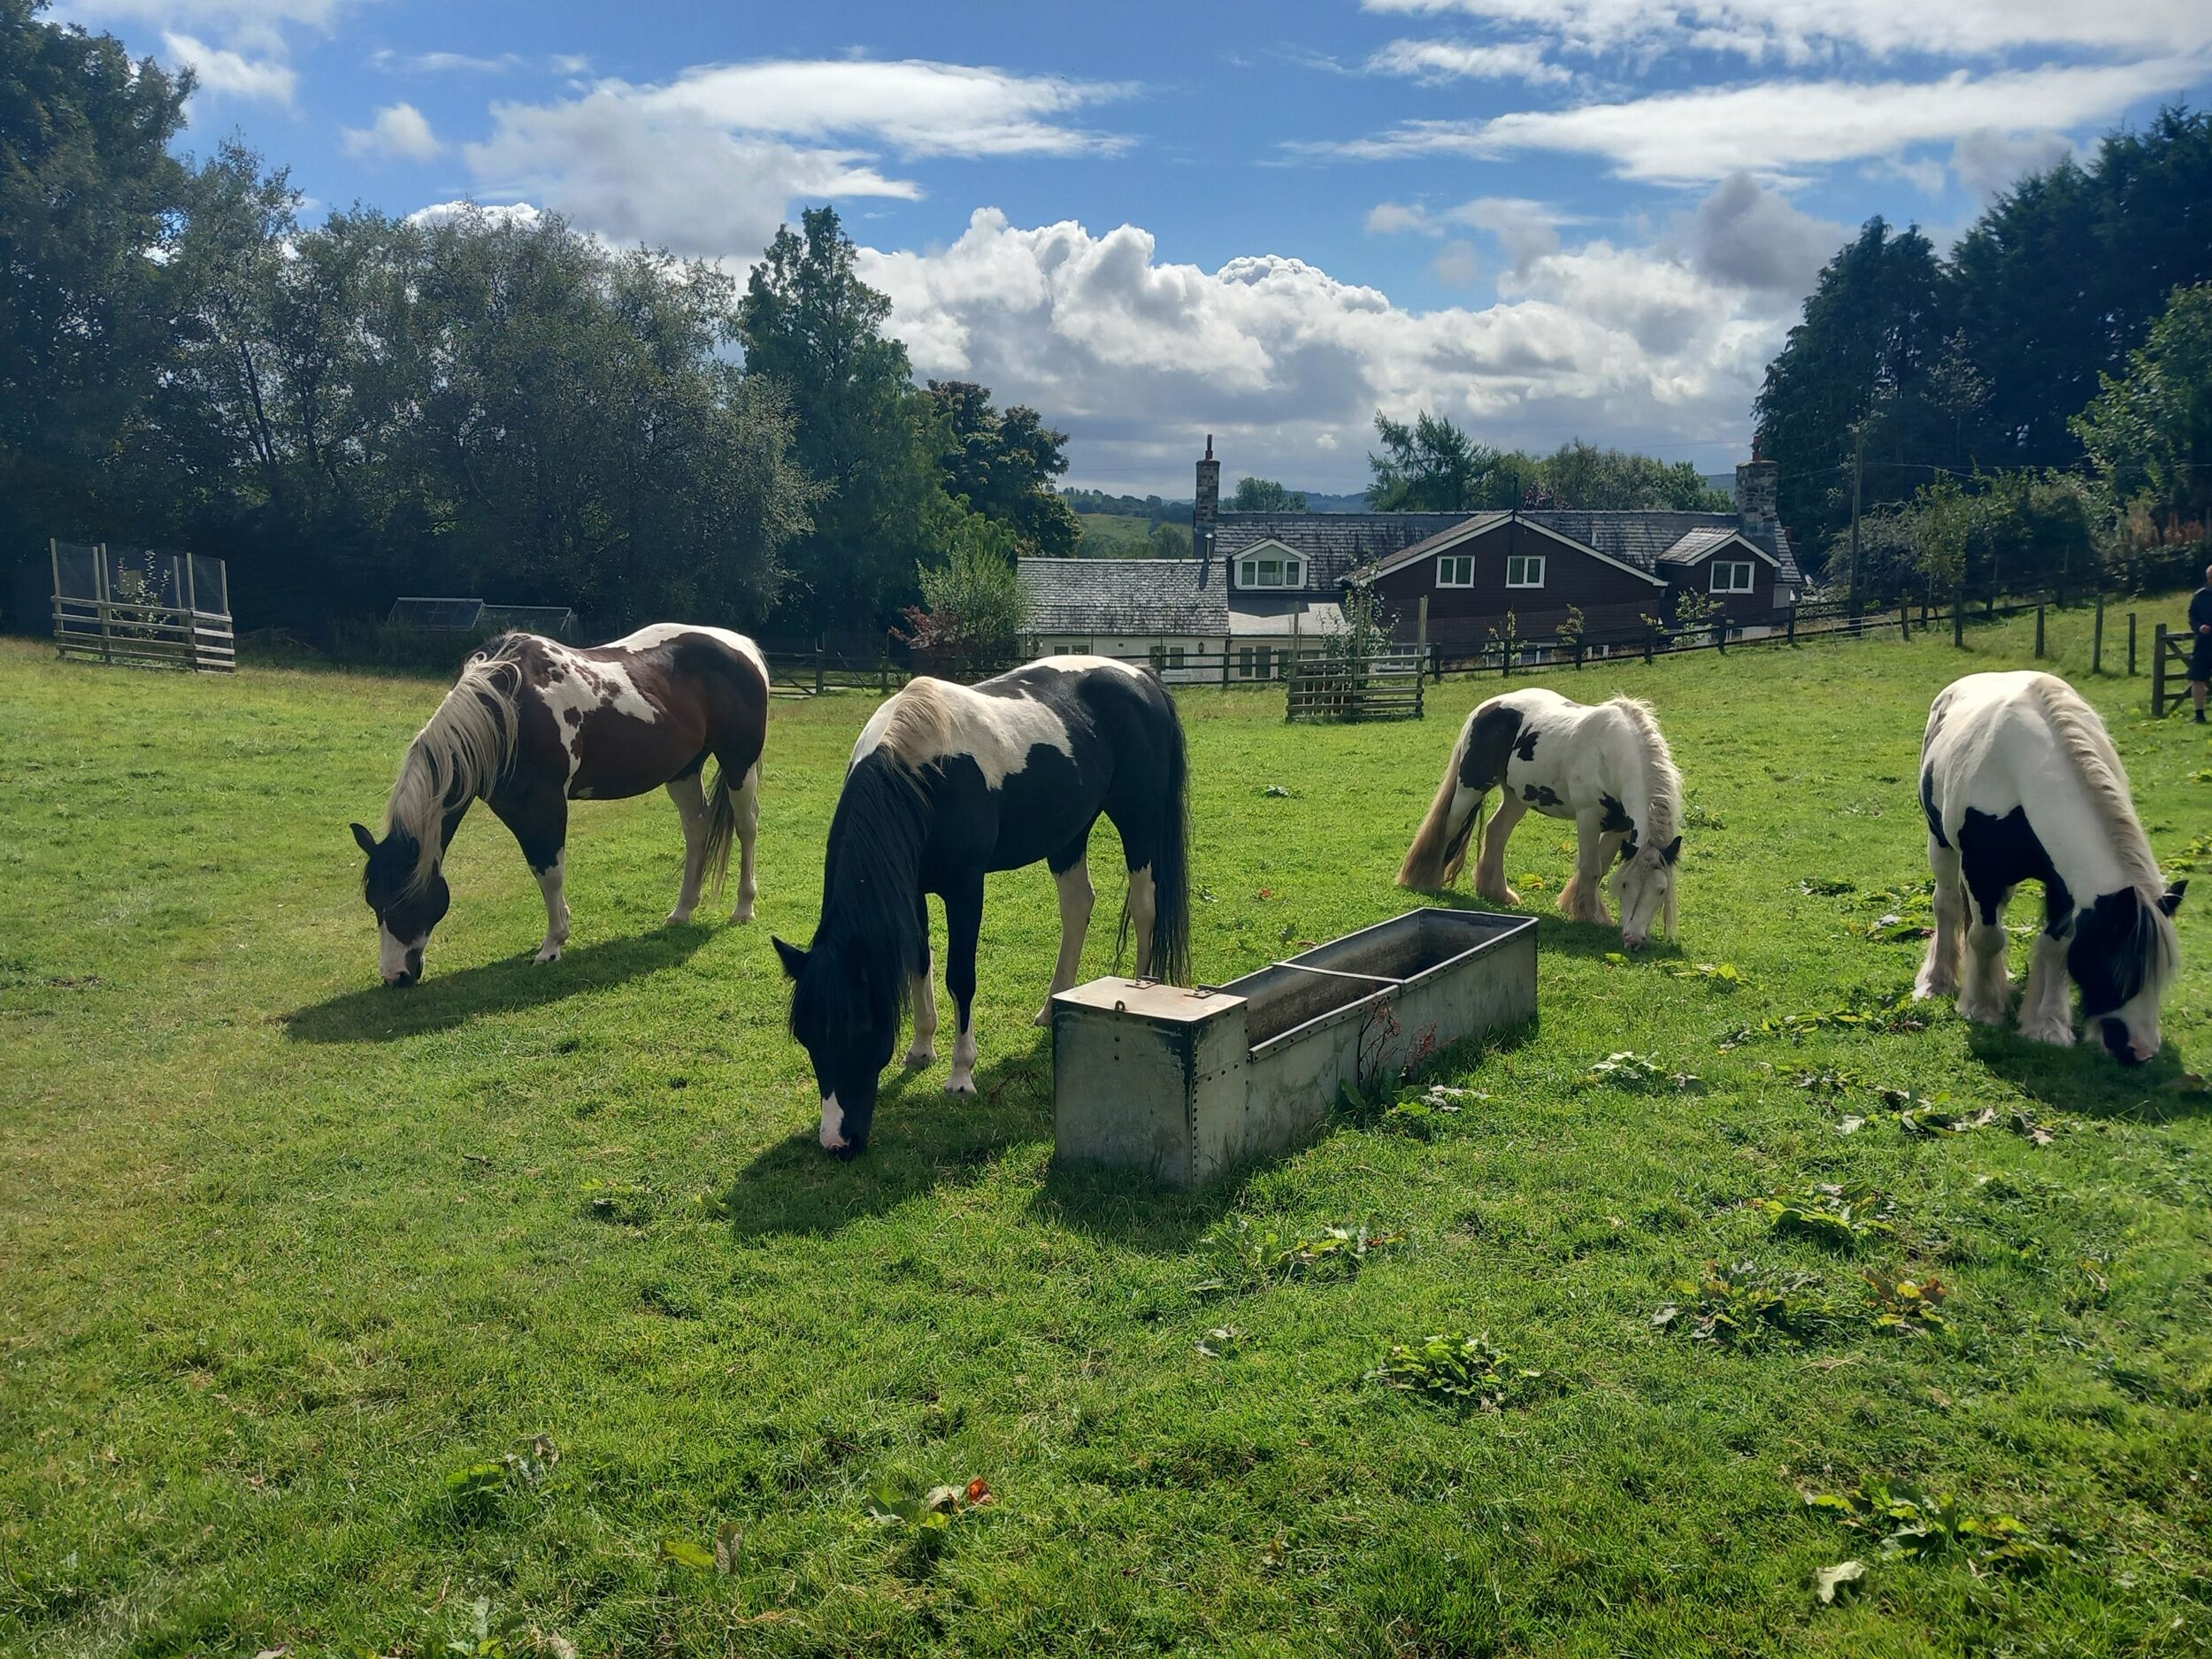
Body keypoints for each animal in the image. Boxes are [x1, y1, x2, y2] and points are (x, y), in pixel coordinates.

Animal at [349, 624, 769, 985]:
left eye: (400, 901)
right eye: (373, 902)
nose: (394, 976)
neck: (507, 711)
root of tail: (744, 646)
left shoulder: (546, 802)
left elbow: (551, 872)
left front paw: (552, 945)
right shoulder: (512, 806)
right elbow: (539, 868)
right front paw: (559, 931)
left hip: (738, 763)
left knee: (747, 825)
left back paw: (743, 908)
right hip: (683, 770)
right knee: (696, 829)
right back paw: (682, 911)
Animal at [773, 656, 1192, 1158]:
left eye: (859, 1029)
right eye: (807, 1037)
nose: (838, 1142)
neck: (920, 769)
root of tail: (1140, 675)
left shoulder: (965, 887)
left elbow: (960, 978)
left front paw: (961, 1074)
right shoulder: (913, 887)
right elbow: (918, 961)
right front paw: (921, 1048)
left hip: (1139, 820)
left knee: (1146, 908)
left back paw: (1139, 990)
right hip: (1068, 833)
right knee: (1077, 906)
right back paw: (1053, 1007)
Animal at [1398, 687, 1683, 949]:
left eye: (1661, 890)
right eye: (1624, 885)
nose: (1634, 939)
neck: (1613, 753)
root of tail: (1487, 706)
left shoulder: (1620, 827)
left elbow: (1600, 867)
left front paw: (1575, 905)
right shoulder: (1588, 817)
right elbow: (1592, 867)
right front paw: (1590, 915)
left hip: (1516, 797)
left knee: (1496, 831)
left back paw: (1497, 892)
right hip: (1471, 786)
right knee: (1450, 827)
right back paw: (1430, 880)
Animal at [1914, 671, 2184, 1062]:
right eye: (2116, 965)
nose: (2141, 1051)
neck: (2023, 773)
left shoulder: (2064, 885)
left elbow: (2056, 946)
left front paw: (2047, 1025)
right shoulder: (1982, 873)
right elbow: (1986, 937)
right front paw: (1981, 1009)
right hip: (1941, 843)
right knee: (1948, 906)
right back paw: (1938, 981)